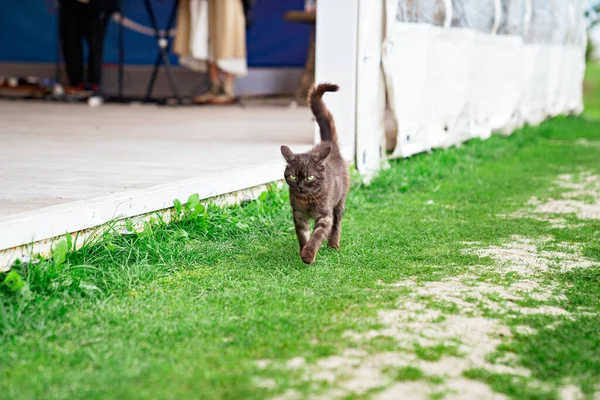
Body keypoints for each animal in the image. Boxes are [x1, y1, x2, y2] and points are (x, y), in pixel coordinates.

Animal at [282, 82, 352, 264]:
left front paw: (308, 255)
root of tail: (328, 144)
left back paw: (333, 245)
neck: (307, 199)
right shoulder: (298, 215)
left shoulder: (324, 216)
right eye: (293, 176)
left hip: (339, 202)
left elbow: (316, 236)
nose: (300, 187)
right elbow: (303, 236)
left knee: (337, 224)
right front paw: (303, 251)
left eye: (309, 177)